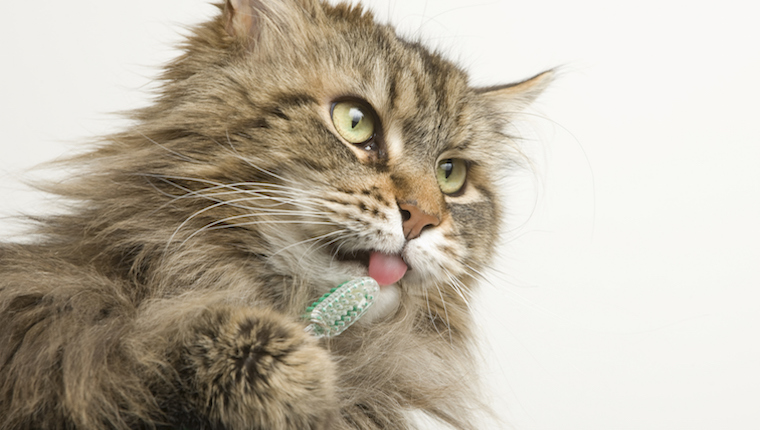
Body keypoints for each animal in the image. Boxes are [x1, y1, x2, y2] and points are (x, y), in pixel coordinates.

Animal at [0, 0, 548, 430]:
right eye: (355, 122)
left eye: (451, 174)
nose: (422, 218)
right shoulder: (61, 339)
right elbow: (155, 344)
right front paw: (287, 368)